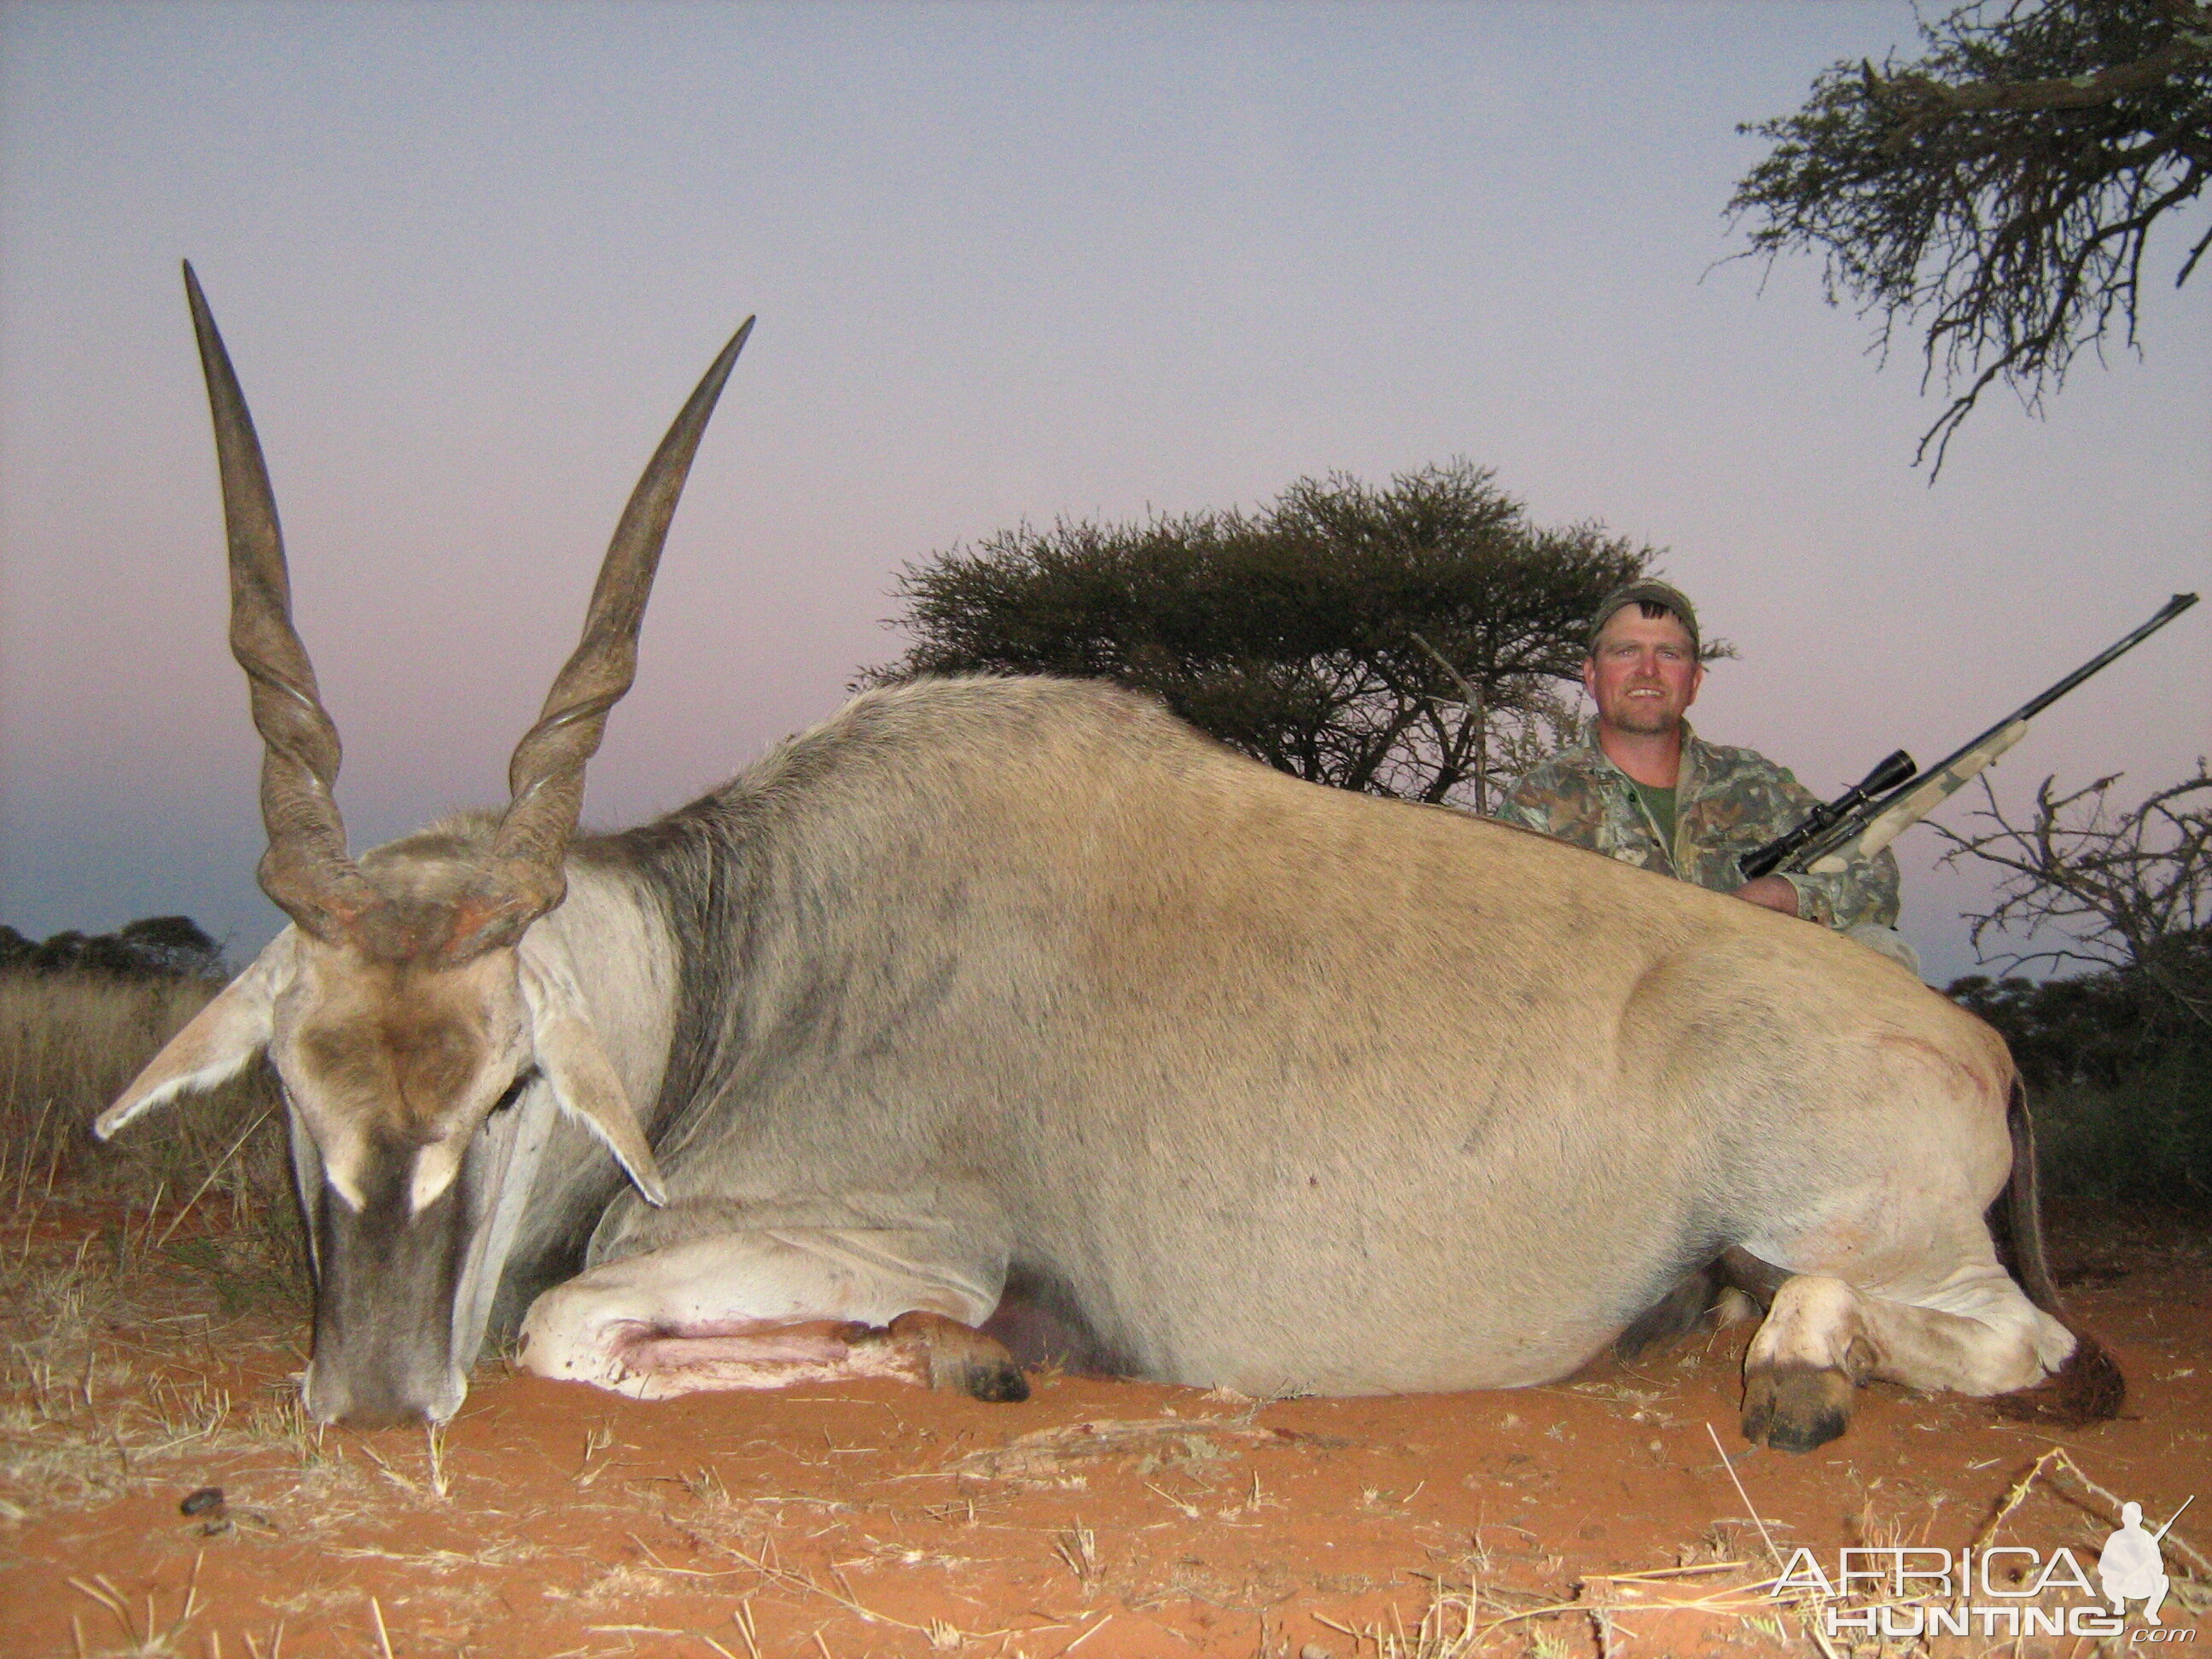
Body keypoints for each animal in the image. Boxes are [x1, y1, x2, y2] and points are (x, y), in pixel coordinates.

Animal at [103, 263, 2123, 1451]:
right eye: (289, 1082)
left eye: (513, 1083)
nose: (370, 1397)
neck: (746, 949)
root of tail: (1981, 1044)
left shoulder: (888, 1233)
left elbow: (572, 1324)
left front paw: (975, 1352)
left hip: (1870, 1230)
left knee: (2003, 1350)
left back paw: (1791, 1371)